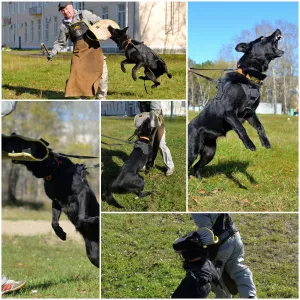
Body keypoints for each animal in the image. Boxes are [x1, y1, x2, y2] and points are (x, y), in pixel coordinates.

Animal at [189, 29, 284, 177]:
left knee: (196, 166)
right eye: (262, 38)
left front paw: (265, 142)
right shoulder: (229, 112)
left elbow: (260, 126)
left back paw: (199, 178)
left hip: (210, 152)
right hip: (192, 152)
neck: (248, 78)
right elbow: (241, 128)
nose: (278, 30)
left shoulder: (250, 113)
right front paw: (249, 144)